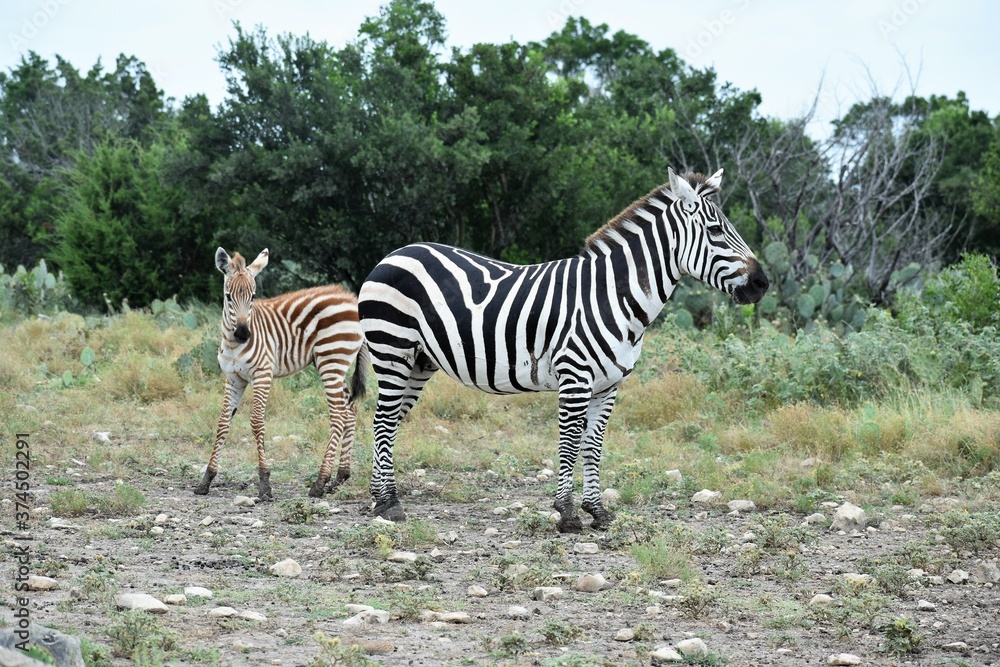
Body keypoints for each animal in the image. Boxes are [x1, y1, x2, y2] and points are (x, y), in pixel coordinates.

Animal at [194, 247, 368, 501]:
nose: (243, 334)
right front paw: (206, 479)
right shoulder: (233, 379)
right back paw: (340, 477)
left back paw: (320, 482)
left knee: (338, 415)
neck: (233, 345)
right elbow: (223, 424)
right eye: (228, 297)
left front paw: (265, 483)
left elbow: (257, 423)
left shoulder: (262, 374)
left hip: (331, 361)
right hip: (336, 365)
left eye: (253, 297)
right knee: (351, 408)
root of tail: (352, 300)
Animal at [358, 168, 768, 531]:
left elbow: (594, 445)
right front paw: (567, 514)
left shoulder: (609, 384)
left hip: (419, 361)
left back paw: (380, 498)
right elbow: (570, 444)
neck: (612, 295)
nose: (763, 283)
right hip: (392, 349)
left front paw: (597, 510)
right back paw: (389, 504)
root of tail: (393, 254)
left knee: (389, 422)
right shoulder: (575, 377)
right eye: (715, 231)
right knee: (382, 420)